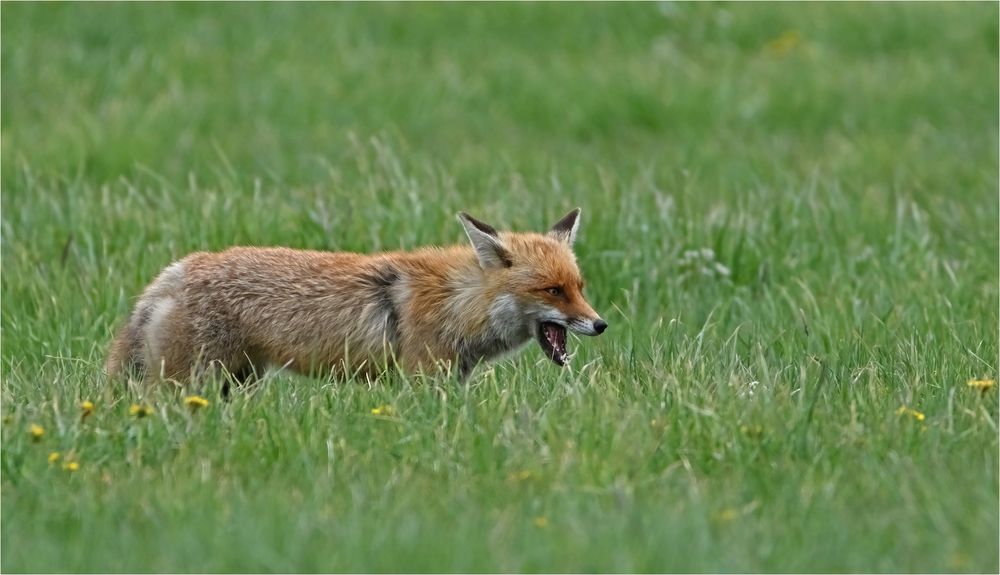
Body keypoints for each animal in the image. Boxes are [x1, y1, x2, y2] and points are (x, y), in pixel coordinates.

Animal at [109, 208, 608, 388]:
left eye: (579, 288)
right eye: (552, 290)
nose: (600, 324)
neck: (458, 303)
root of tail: (175, 271)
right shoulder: (422, 380)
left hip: (237, 381)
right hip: (191, 383)